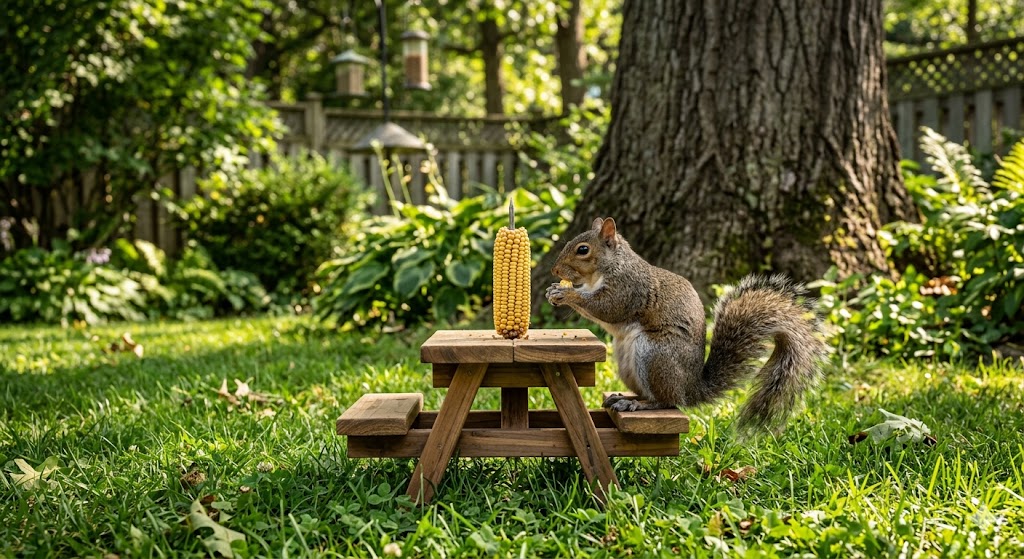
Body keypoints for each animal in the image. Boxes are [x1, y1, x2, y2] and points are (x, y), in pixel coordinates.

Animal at [545, 217, 826, 431]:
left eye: (583, 250)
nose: (555, 271)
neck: (606, 269)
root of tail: (691, 389)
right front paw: (555, 290)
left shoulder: (629, 289)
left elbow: (607, 308)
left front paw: (566, 294)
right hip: (627, 362)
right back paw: (626, 398)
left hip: (655, 355)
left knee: (667, 401)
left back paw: (639, 405)